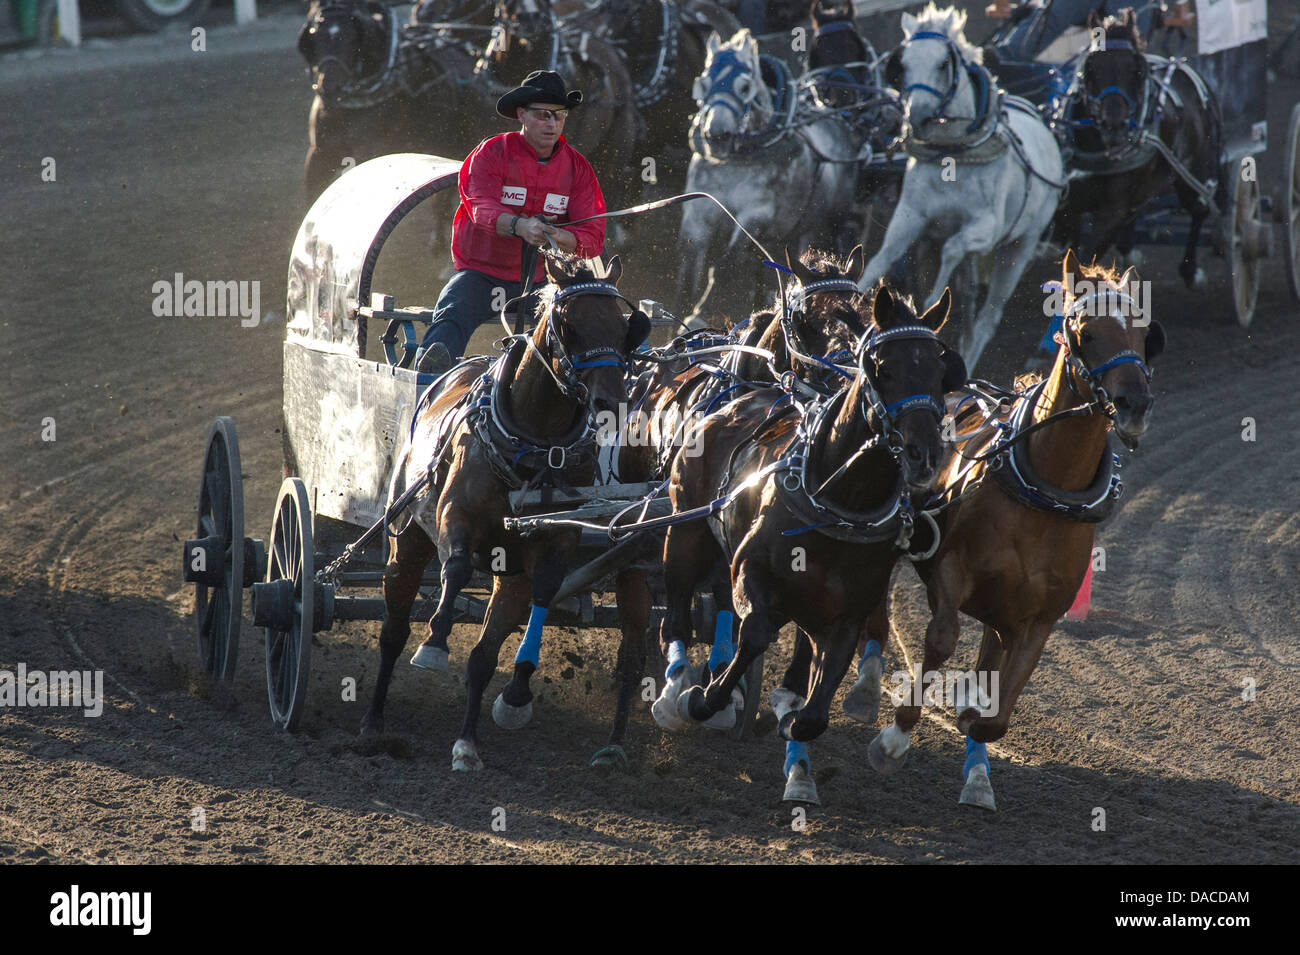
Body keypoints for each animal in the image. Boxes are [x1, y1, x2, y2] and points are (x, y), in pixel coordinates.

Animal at [361, 252, 650, 769]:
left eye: (625, 327)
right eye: (569, 325)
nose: (610, 401)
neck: (536, 445)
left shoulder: (556, 539)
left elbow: (544, 593)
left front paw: (517, 691)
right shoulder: (455, 517)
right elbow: (455, 568)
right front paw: (434, 643)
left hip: (508, 574)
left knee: (482, 655)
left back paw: (467, 742)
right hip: (406, 540)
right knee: (393, 630)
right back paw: (374, 721)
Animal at [681, 29, 863, 323]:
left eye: (744, 88)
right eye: (703, 84)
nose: (717, 136)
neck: (740, 159)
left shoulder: (759, 214)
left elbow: (726, 262)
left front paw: (699, 314)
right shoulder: (697, 211)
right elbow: (688, 264)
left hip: (834, 219)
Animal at [852, 3, 1066, 369]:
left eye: (942, 64)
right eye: (903, 64)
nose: (918, 116)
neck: (954, 154)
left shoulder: (986, 228)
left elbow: (951, 248)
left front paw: (930, 302)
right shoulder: (909, 216)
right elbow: (882, 258)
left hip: (1018, 247)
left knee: (987, 317)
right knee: (967, 298)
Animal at [857, 250, 1164, 810]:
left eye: (1143, 332)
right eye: (1086, 331)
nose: (1135, 404)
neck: (1044, 491)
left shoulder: (1038, 619)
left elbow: (998, 709)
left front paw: (972, 731)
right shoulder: (951, 573)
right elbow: (941, 638)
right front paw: (894, 738)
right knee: (874, 611)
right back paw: (866, 686)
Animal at [1050, 9, 1222, 285]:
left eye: (1137, 71)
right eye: (1090, 67)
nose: (1115, 126)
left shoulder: (1113, 210)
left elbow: (1088, 254)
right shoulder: (1071, 207)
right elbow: (1073, 248)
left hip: (1196, 173)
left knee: (1200, 209)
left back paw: (1191, 270)